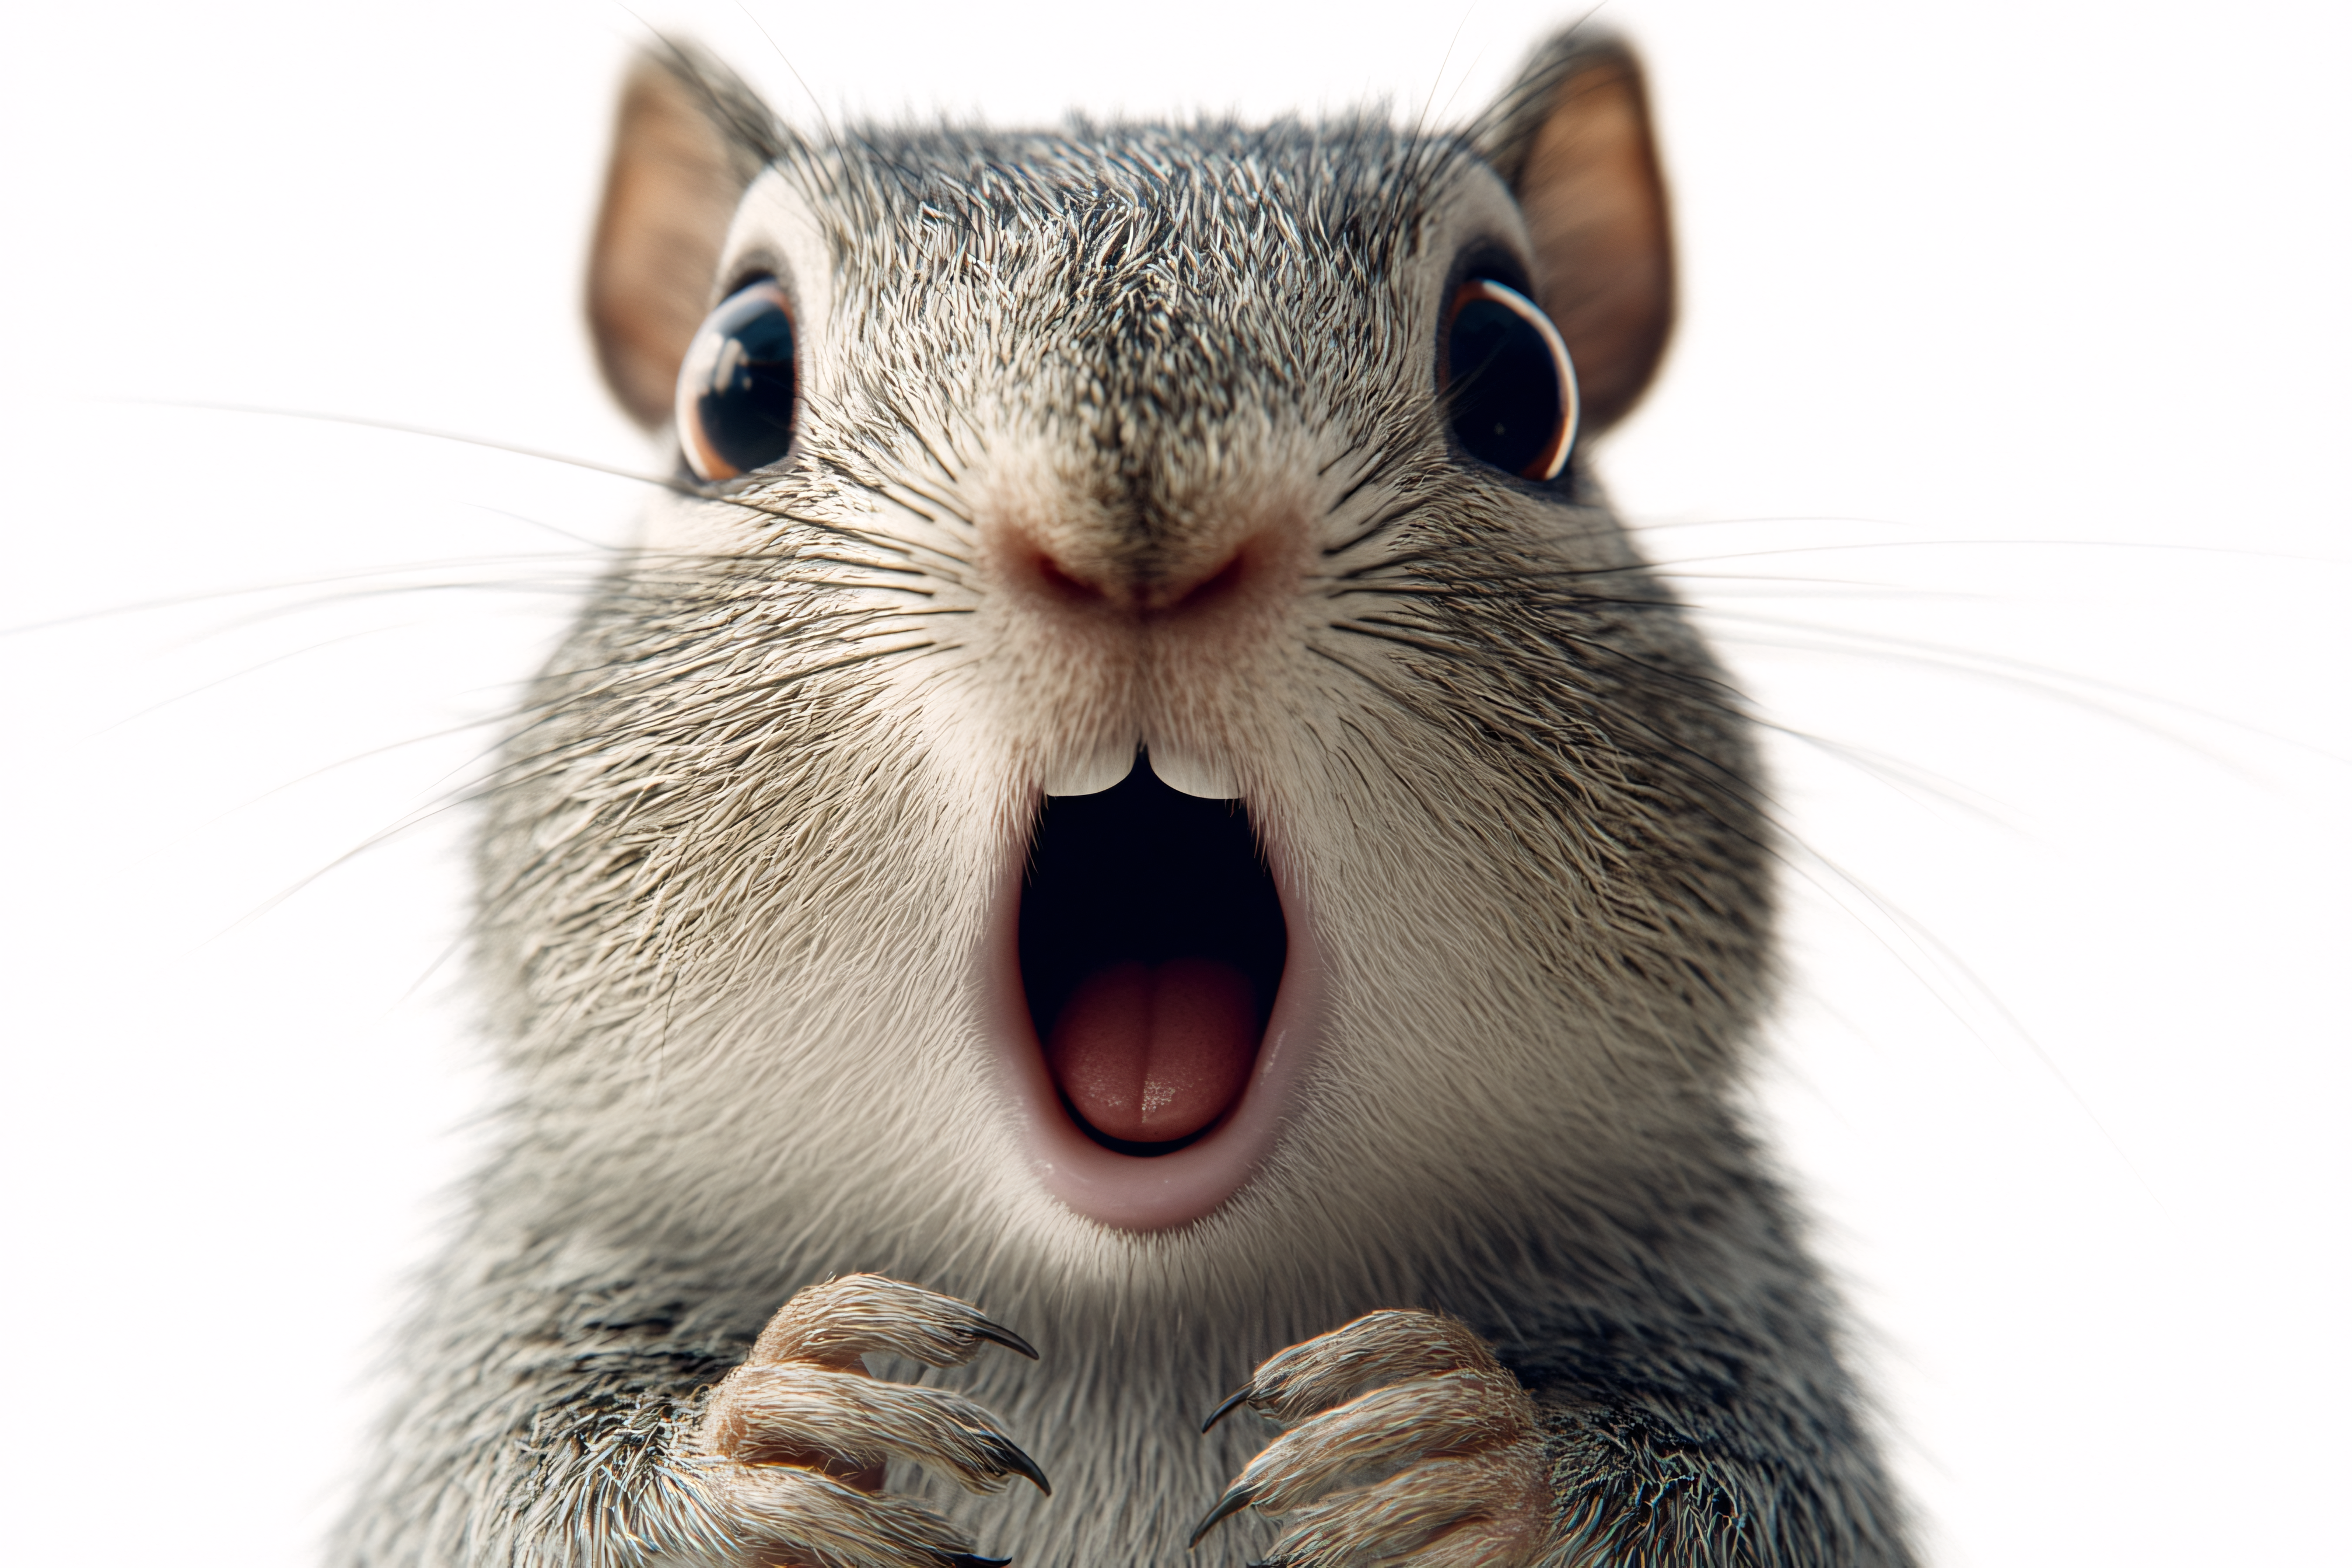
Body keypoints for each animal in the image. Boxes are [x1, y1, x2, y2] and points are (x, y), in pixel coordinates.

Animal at [336, 26, 1914, 1568]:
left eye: (1522, 376)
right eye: (734, 381)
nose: (1135, 530)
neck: (1131, 1305)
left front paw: (1465, 1449)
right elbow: (508, 1501)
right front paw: (765, 1436)